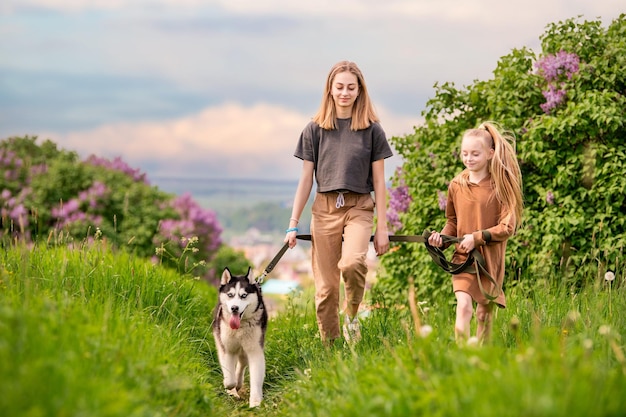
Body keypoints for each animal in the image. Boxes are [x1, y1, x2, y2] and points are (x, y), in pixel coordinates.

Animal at [212, 266, 266, 406]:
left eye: (244, 295)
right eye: (230, 295)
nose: (234, 308)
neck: (239, 328)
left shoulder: (255, 350)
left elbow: (256, 377)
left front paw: (255, 402)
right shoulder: (228, 349)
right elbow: (229, 378)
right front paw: (229, 386)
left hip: (245, 349)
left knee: (242, 363)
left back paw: (239, 382)